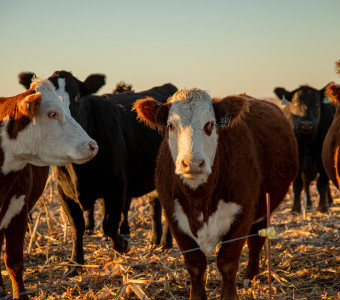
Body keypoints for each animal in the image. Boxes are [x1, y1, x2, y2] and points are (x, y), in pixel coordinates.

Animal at [18, 71, 177, 270]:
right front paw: (75, 263)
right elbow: (76, 225)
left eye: (78, 96)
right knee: (155, 203)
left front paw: (123, 245)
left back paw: (166, 243)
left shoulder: (117, 187)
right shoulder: (64, 191)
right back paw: (155, 240)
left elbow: (109, 224)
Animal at [133, 89, 298, 300]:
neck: (199, 199)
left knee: (256, 241)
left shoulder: (243, 214)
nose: (193, 163)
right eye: (171, 125)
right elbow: (195, 265)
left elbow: (227, 262)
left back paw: (250, 277)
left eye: (210, 124)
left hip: (264, 207)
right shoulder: (174, 217)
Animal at [274, 83, 334, 212]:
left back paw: (329, 201)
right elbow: (297, 186)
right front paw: (296, 208)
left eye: (316, 104)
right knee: (306, 183)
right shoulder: (297, 164)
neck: (307, 144)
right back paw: (308, 203)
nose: (306, 124)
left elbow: (322, 185)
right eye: (294, 102)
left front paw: (322, 208)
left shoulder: (323, 162)